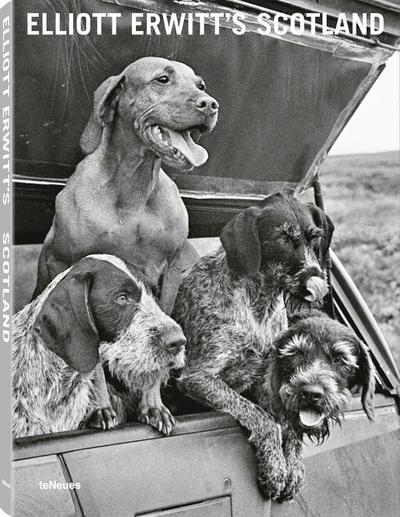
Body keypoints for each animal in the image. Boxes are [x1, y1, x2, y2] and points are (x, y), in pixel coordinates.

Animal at [31, 55, 219, 432]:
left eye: (200, 85)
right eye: (162, 79)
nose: (210, 104)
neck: (133, 186)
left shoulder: (169, 275)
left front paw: (154, 405)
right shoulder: (74, 276)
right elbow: (92, 360)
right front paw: (101, 408)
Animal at [173, 192, 334, 500]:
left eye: (314, 238)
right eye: (283, 238)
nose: (317, 280)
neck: (259, 302)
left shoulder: (266, 380)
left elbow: (288, 422)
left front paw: (293, 465)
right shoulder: (198, 378)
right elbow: (262, 418)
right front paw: (275, 468)